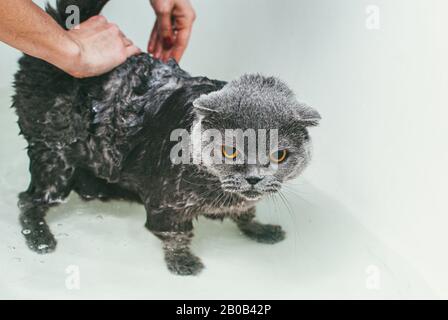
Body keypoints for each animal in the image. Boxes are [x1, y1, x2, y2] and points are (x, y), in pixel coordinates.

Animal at [11, 0, 318, 276]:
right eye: (230, 150)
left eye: (279, 154)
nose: (254, 177)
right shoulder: (166, 206)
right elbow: (177, 236)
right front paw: (183, 263)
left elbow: (246, 213)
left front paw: (260, 230)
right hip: (54, 157)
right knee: (29, 201)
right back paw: (40, 239)